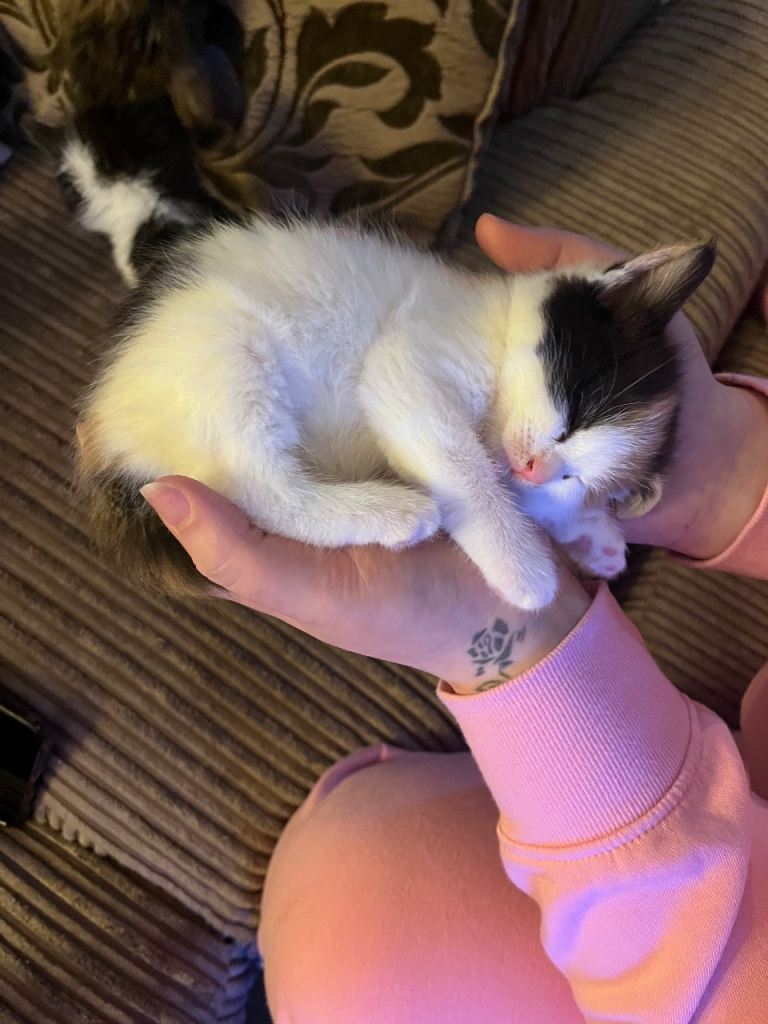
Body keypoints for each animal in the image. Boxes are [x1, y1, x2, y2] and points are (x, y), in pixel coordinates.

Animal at [76, 216, 714, 610]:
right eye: (579, 404)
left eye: (573, 479)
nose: (534, 467)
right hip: (220, 352)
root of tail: (110, 426)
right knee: (263, 488)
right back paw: (392, 512)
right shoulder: (410, 362)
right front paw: (525, 572)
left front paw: (593, 535)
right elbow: (464, 465)